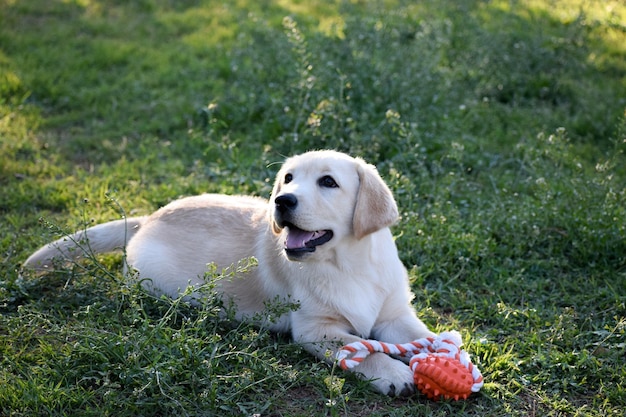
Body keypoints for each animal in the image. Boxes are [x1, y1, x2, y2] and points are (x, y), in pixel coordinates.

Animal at [25, 150, 434, 396]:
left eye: (328, 182)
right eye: (288, 178)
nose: (281, 201)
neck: (349, 264)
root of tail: (148, 217)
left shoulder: (395, 316)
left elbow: (424, 337)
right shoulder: (316, 329)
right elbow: (361, 349)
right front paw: (392, 371)